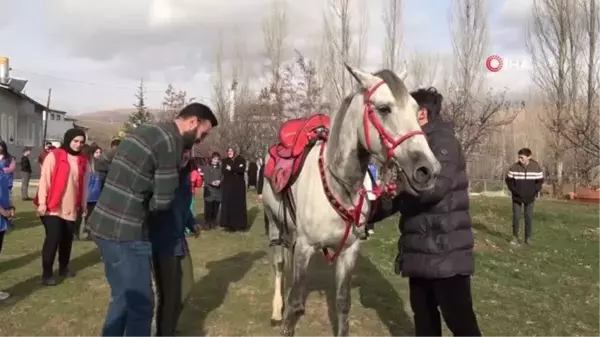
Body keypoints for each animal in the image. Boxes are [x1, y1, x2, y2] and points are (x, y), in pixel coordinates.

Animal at [262, 63, 440, 336]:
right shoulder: (305, 247)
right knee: (280, 264)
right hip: (274, 223)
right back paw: (275, 310)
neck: (339, 186)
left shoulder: (348, 251)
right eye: (383, 108)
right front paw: (285, 316)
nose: (427, 170)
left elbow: (343, 303)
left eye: (415, 109)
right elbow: (294, 305)